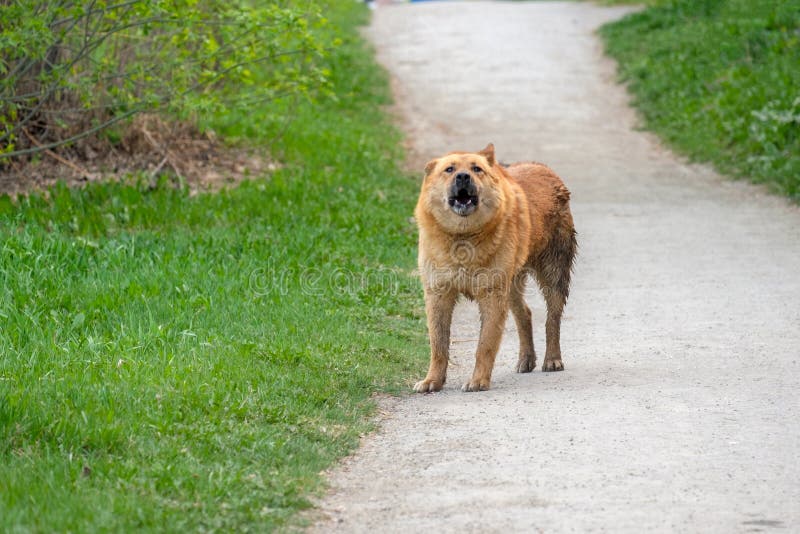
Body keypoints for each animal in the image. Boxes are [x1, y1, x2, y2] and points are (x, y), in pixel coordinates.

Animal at [412, 143, 576, 394]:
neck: (462, 238)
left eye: (476, 168)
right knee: (524, 313)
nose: (463, 176)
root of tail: (544, 168)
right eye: (449, 169)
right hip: (512, 283)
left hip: (553, 273)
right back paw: (526, 359)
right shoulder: (438, 294)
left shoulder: (492, 295)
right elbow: (438, 345)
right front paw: (432, 381)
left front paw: (478, 381)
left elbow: (485, 344)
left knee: (552, 318)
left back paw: (552, 359)